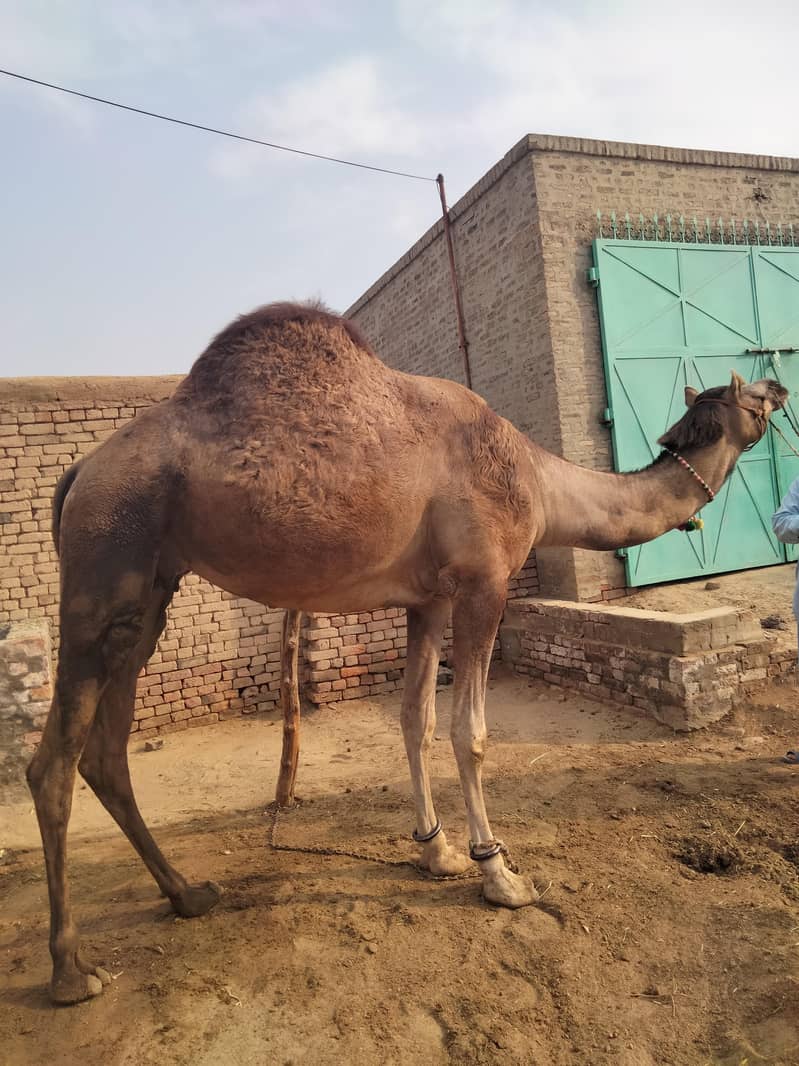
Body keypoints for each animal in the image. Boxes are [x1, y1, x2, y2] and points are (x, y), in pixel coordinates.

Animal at [27, 301, 787, 1005]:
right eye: (750, 394)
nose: (779, 383)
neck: (539, 482)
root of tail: (79, 472)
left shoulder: (428, 598)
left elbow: (413, 720)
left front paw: (437, 853)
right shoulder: (484, 580)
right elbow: (469, 732)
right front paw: (499, 873)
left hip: (147, 594)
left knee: (106, 753)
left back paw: (188, 895)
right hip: (104, 564)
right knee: (52, 765)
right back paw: (72, 971)